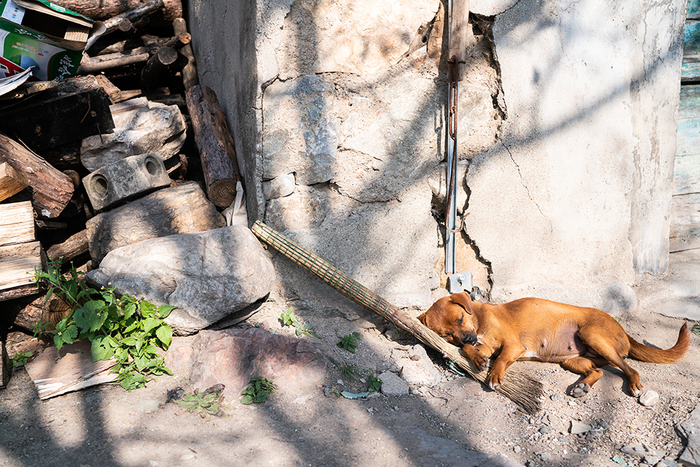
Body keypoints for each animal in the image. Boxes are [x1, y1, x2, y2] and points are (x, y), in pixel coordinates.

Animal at [416, 294, 688, 396]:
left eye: (461, 319)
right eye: (448, 335)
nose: (468, 338)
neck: (479, 320)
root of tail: (624, 332)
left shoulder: (513, 346)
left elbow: (501, 359)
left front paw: (494, 375)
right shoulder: (481, 344)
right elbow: (471, 351)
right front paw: (477, 359)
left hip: (592, 335)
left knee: (630, 368)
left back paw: (633, 384)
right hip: (573, 360)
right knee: (598, 371)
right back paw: (581, 387)